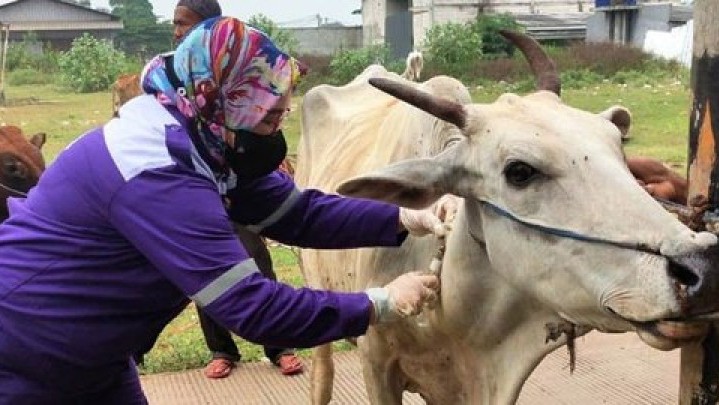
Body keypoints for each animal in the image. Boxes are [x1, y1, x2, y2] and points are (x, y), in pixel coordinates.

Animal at [294, 32, 719, 404]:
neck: (451, 309)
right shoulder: (376, 363)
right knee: (322, 374)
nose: (702, 268)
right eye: (519, 171)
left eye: (619, 150)